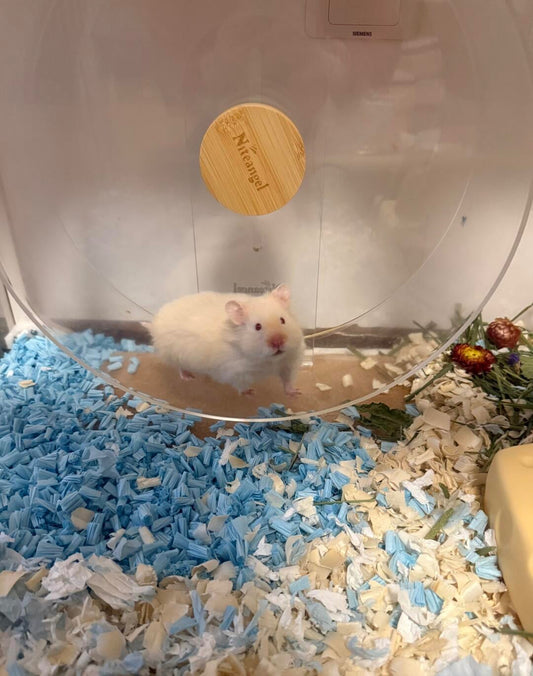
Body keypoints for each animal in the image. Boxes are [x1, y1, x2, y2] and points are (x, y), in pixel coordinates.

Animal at [150, 284, 305, 395]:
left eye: (283, 320)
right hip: (174, 354)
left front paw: (296, 392)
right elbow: (241, 385)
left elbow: (288, 380)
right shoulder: (235, 372)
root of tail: (154, 322)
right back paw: (188, 377)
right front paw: (251, 392)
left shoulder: (289, 361)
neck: (269, 361)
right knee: (180, 367)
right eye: (258, 327)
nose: (278, 342)